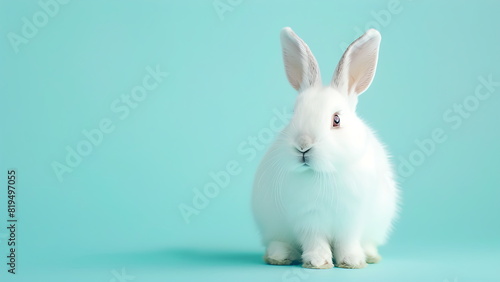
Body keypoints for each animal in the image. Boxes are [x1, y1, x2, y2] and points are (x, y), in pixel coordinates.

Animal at [252, 28, 400, 268]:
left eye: (336, 120)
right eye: (293, 114)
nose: (303, 146)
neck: (323, 174)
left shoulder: (351, 217)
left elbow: (347, 241)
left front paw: (351, 261)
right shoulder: (308, 218)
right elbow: (315, 240)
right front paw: (318, 262)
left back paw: (369, 255)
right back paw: (279, 256)